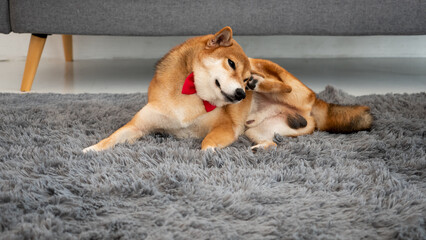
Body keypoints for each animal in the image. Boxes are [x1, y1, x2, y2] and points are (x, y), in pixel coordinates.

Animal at [84, 26, 255, 152]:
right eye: (231, 63)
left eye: (246, 80)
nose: (241, 94)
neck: (190, 94)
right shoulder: (138, 126)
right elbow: (111, 138)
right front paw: (91, 150)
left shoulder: (226, 125)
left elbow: (207, 141)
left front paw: (208, 153)